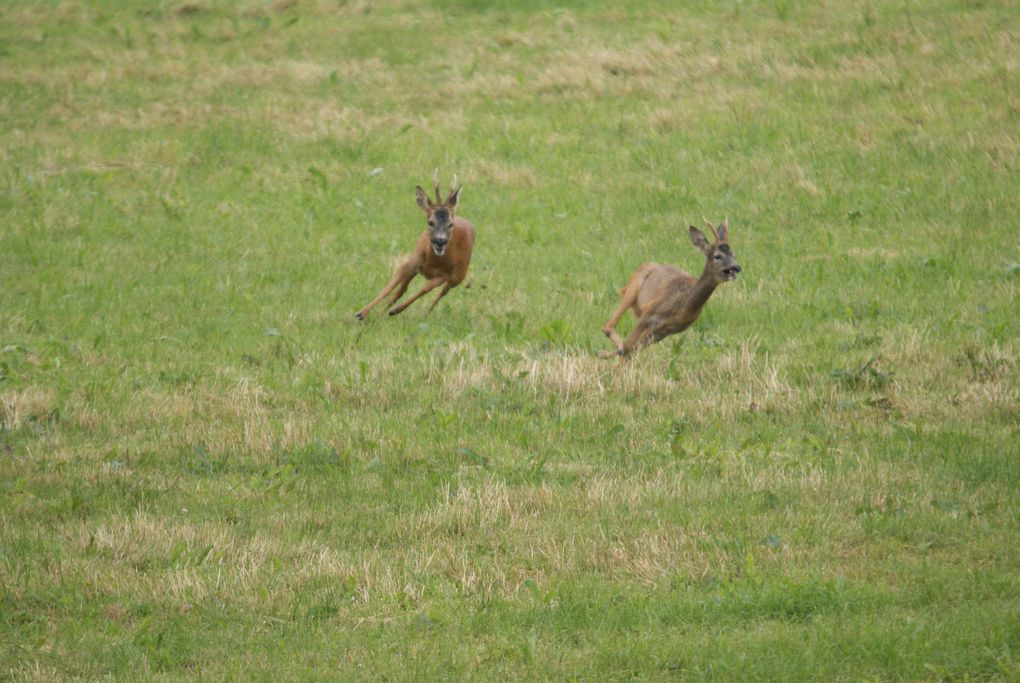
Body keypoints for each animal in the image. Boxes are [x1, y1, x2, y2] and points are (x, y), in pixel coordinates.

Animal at [352, 171, 475, 322]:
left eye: (450, 224)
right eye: (430, 222)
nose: (440, 241)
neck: (433, 262)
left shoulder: (444, 274)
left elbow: (424, 289)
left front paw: (395, 310)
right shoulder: (412, 262)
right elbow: (390, 286)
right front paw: (362, 313)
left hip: (459, 275)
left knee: (442, 292)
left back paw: (423, 312)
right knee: (402, 289)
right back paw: (382, 312)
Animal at [595, 219, 742, 358]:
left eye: (734, 255)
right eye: (717, 256)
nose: (736, 267)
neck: (682, 306)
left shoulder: (667, 330)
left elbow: (632, 348)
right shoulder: (649, 312)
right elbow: (629, 346)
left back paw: (604, 353)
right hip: (633, 288)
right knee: (609, 328)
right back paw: (608, 350)